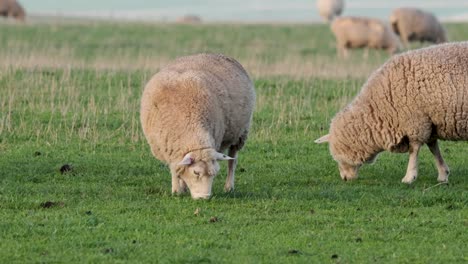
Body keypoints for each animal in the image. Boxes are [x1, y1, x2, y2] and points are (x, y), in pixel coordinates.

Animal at [140, 53, 256, 198]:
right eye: (196, 172)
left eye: (214, 173)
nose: (204, 197)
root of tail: (220, 55)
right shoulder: (170, 149)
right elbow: (176, 169)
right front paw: (178, 189)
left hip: (239, 133)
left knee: (232, 161)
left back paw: (229, 186)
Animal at [314, 42, 468, 185]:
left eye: (337, 157)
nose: (345, 178)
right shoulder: (428, 121)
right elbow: (433, 148)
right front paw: (443, 174)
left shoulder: (415, 121)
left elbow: (414, 149)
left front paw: (409, 177)